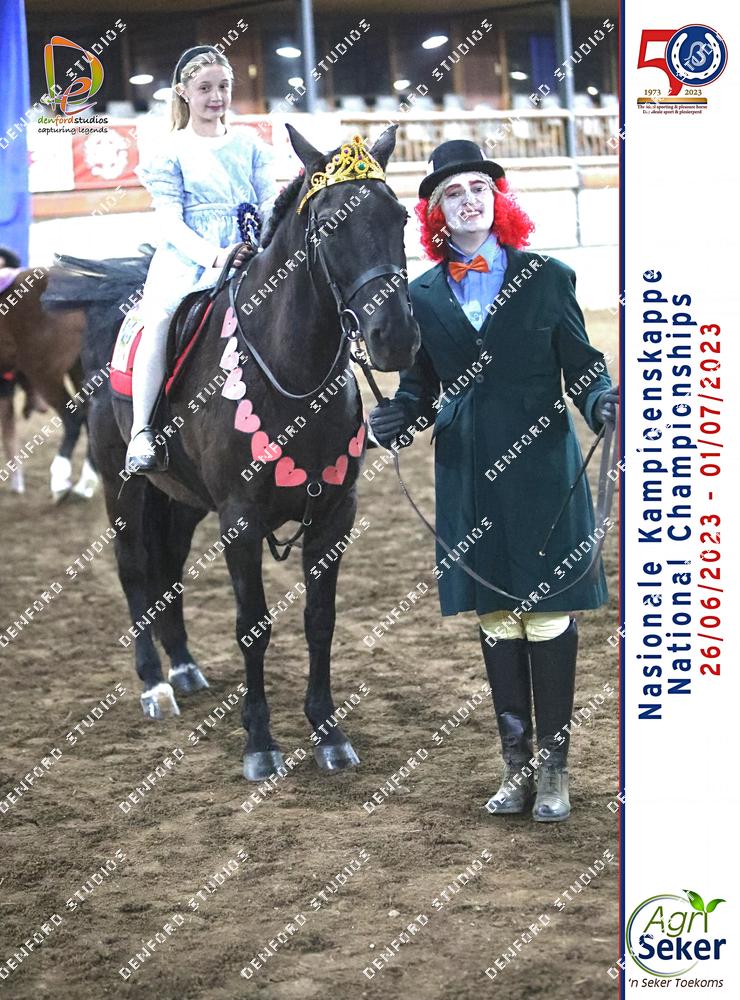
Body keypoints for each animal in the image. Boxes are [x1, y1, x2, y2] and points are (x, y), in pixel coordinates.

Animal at [80, 124, 419, 780]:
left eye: (401, 217)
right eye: (331, 225)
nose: (395, 337)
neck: (289, 373)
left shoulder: (335, 515)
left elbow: (320, 621)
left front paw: (329, 732)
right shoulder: (239, 520)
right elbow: (253, 627)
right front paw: (260, 743)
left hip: (183, 502)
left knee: (168, 572)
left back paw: (185, 667)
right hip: (122, 488)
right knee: (134, 571)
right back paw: (154, 686)